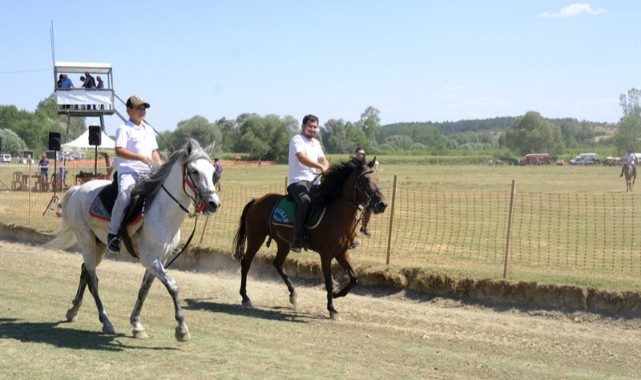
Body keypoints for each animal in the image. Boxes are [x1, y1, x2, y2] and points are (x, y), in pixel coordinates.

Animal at [44, 139, 220, 342]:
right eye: (195, 171)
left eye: (212, 172)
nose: (214, 203)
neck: (162, 212)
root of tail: (77, 189)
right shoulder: (150, 258)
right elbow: (173, 286)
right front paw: (181, 329)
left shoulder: (160, 260)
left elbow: (144, 290)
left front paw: (136, 324)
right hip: (86, 241)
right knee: (93, 279)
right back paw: (105, 321)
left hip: (99, 244)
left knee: (85, 272)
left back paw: (73, 310)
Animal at [234, 157, 388, 318]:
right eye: (364, 180)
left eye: (377, 179)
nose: (382, 204)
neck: (336, 215)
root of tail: (257, 200)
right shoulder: (326, 255)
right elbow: (329, 282)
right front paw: (332, 308)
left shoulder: (341, 252)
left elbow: (354, 277)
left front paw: (336, 295)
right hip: (255, 238)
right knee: (246, 263)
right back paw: (245, 297)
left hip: (284, 243)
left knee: (277, 264)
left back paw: (293, 294)